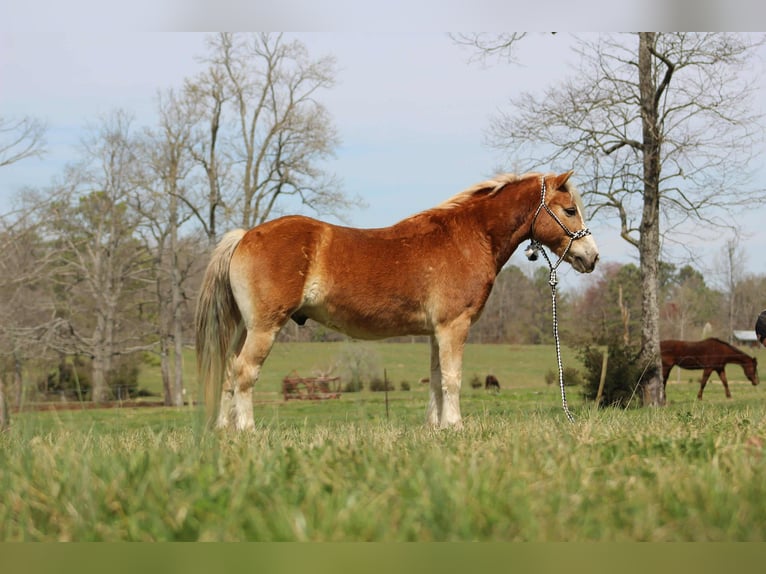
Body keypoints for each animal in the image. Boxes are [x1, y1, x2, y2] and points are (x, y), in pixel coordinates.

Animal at [195, 171, 599, 431]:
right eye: (569, 210)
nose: (591, 257)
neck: (467, 238)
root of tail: (245, 236)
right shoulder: (454, 326)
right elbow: (452, 378)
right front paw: (456, 426)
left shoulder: (436, 332)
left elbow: (436, 379)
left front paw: (436, 429)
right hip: (264, 328)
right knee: (245, 372)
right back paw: (247, 431)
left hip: (243, 329)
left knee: (229, 372)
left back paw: (223, 431)